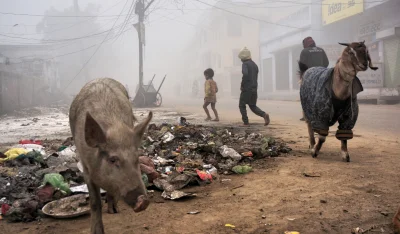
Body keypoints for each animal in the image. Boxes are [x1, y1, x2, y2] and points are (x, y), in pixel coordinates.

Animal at [69, 78, 152, 234]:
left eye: (137, 158)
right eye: (113, 159)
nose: (143, 200)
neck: (114, 128)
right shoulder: (85, 167)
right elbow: (95, 202)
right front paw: (96, 232)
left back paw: (114, 210)